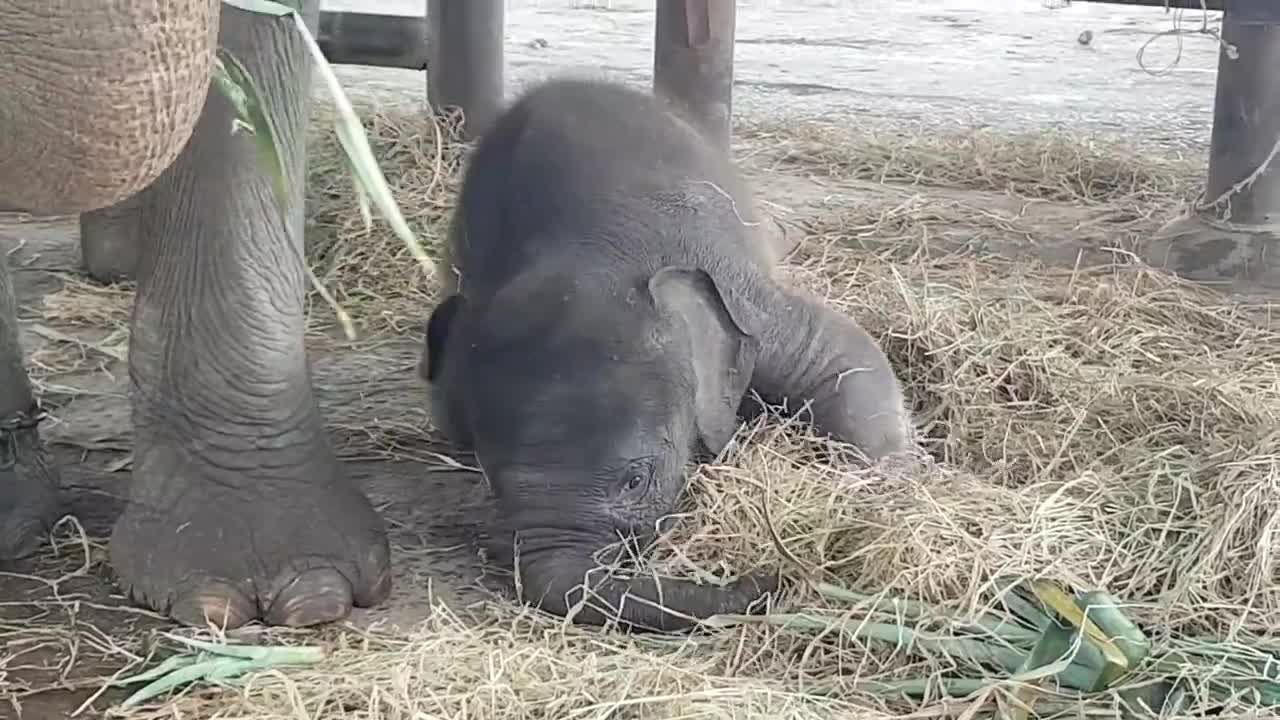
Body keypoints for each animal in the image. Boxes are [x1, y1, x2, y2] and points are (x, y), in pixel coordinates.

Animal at [419, 77, 911, 627]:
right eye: (492, 482)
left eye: (636, 481)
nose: (776, 577)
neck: (591, 256)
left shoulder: (739, 290)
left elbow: (841, 354)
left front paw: (889, 489)